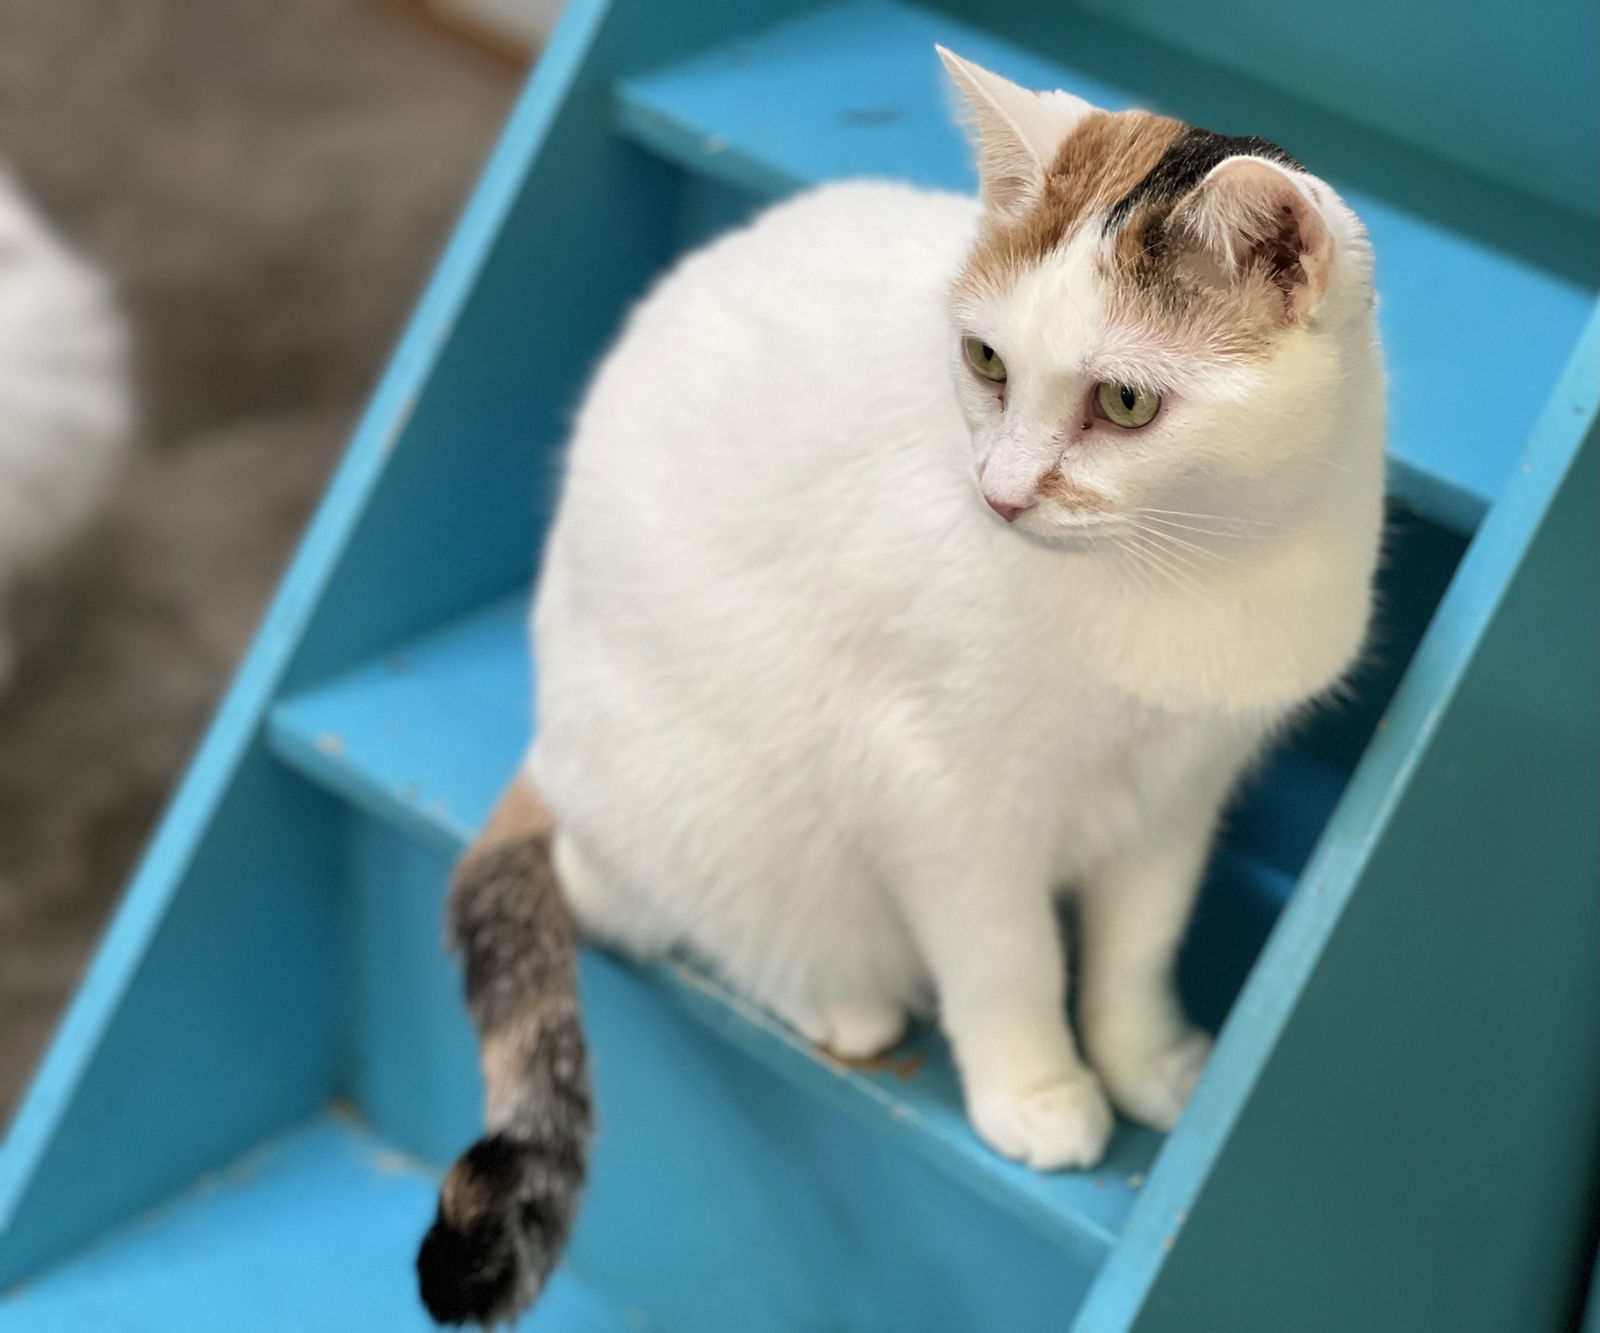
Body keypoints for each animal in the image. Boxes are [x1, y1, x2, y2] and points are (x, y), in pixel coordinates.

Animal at [419, 49, 1382, 1318]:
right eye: (986, 361)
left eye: (1126, 402)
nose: (1000, 494)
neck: (1188, 575)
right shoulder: (935, 786)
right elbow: (1007, 953)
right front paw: (1039, 1089)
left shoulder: (1182, 792)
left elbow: (1138, 943)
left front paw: (1145, 1058)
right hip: (711, 811)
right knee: (620, 894)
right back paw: (832, 995)